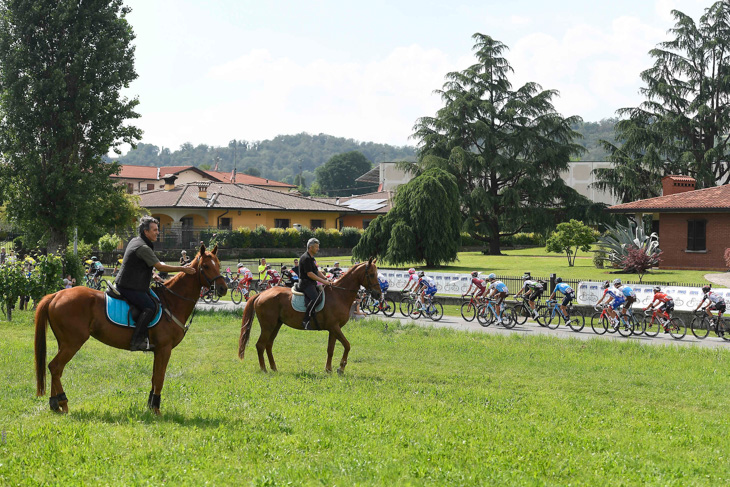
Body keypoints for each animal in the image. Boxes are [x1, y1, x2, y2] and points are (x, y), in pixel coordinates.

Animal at [33, 246, 225, 414]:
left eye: (218, 264)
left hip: (64, 343)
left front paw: (150, 406)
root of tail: (56, 295)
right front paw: (156, 409)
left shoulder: (158, 351)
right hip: (73, 343)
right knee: (55, 367)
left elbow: (154, 377)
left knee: (56, 369)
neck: (171, 301)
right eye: (206, 266)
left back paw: (55, 403)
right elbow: (159, 378)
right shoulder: (164, 349)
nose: (223, 288)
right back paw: (63, 402)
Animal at [237, 260, 382, 374]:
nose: (378, 295)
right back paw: (264, 369)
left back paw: (274, 368)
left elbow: (330, 349)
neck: (339, 294)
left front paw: (328, 369)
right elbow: (347, 345)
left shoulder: (333, 329)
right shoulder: (335, 327)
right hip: (268, 326)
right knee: (260, 345)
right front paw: (341, 368)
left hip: (276, 325)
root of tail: (261, 294)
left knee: (268, 345)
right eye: (371, 275)